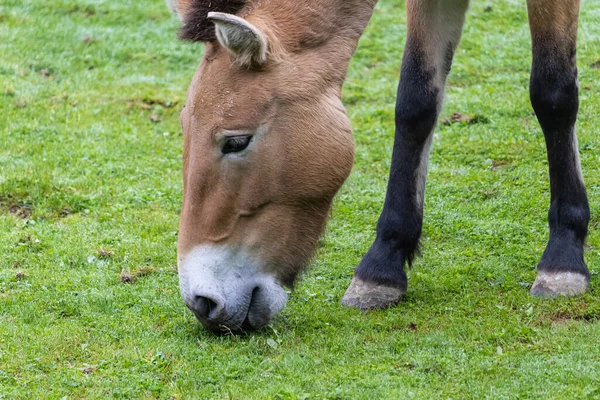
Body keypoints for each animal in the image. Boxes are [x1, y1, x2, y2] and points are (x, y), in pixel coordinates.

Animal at [169, 0, 592, 332]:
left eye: (236, 141)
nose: (201, 302)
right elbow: (416, 101)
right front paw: (382, 265)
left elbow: (553, 91)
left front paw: (564, 255)